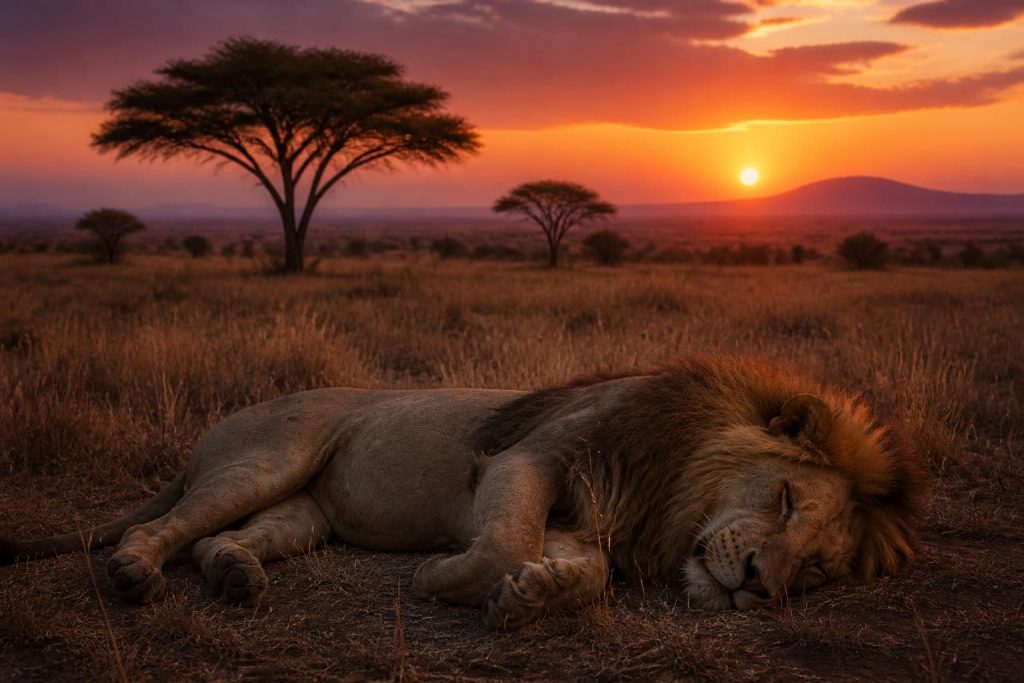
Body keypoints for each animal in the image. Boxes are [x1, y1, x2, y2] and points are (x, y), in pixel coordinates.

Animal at [0, 356, 921, 629]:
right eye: (786, 501)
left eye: (816, 571)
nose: (759, 584)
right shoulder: (528, 457)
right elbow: (504, 537)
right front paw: (448, 580)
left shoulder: (591, 525)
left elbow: (585, 574)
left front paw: (535, 594)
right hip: (269, 455)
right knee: (168, 529)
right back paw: (132, 574)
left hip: (306, 512)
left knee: (218, 541)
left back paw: (236, 577)